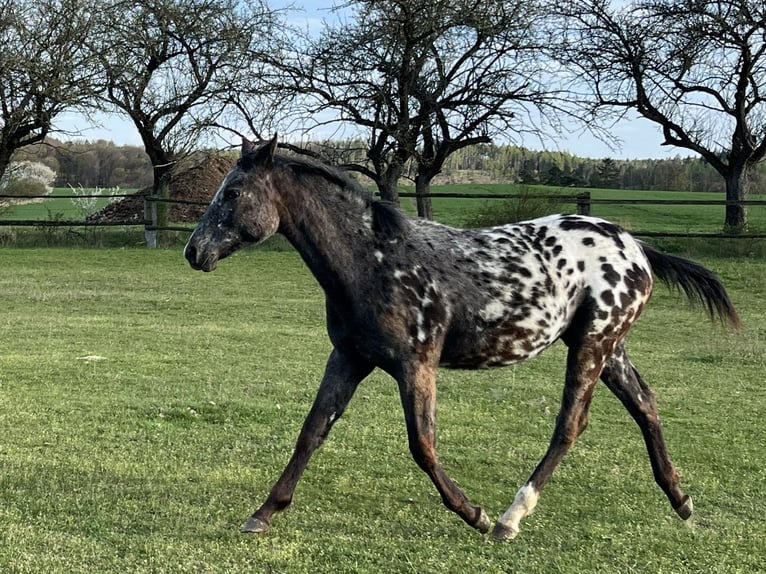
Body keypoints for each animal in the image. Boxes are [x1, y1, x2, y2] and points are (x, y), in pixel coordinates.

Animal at [184, 135, 740, 540]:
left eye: (233, 193)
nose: (194, 251)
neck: (374, 260)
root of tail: (637, 246)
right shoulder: (348, 358)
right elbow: (311, 432)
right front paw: (263, 512)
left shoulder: (416, 364)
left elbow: (422, 445)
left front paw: (473, 513)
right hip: (609, 347)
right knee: (645, 403)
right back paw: (680, 500)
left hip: (592, 345)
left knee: (571, 424)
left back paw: (510, 519)